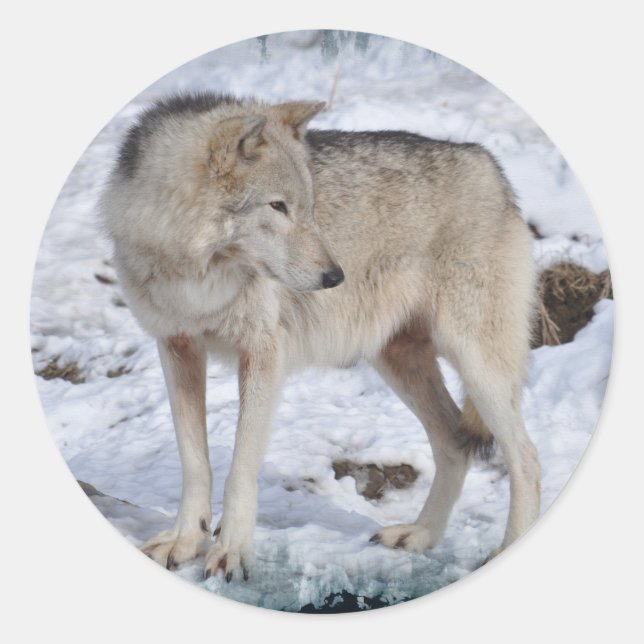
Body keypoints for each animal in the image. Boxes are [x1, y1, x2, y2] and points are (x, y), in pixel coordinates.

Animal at [100, 92, 540, 581]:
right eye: (277, 206)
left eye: (307, 207)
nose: (335, 277)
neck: (196, 271)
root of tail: (488, 162)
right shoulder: (176, 347)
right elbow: (194, 462)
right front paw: (185, 540)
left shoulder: (263, 355)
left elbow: (240, 469)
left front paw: (231, 551)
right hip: (397, 361)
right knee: (455, 442)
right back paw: (419, 535)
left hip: (478, 367)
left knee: (526, 458)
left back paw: (507, 550)